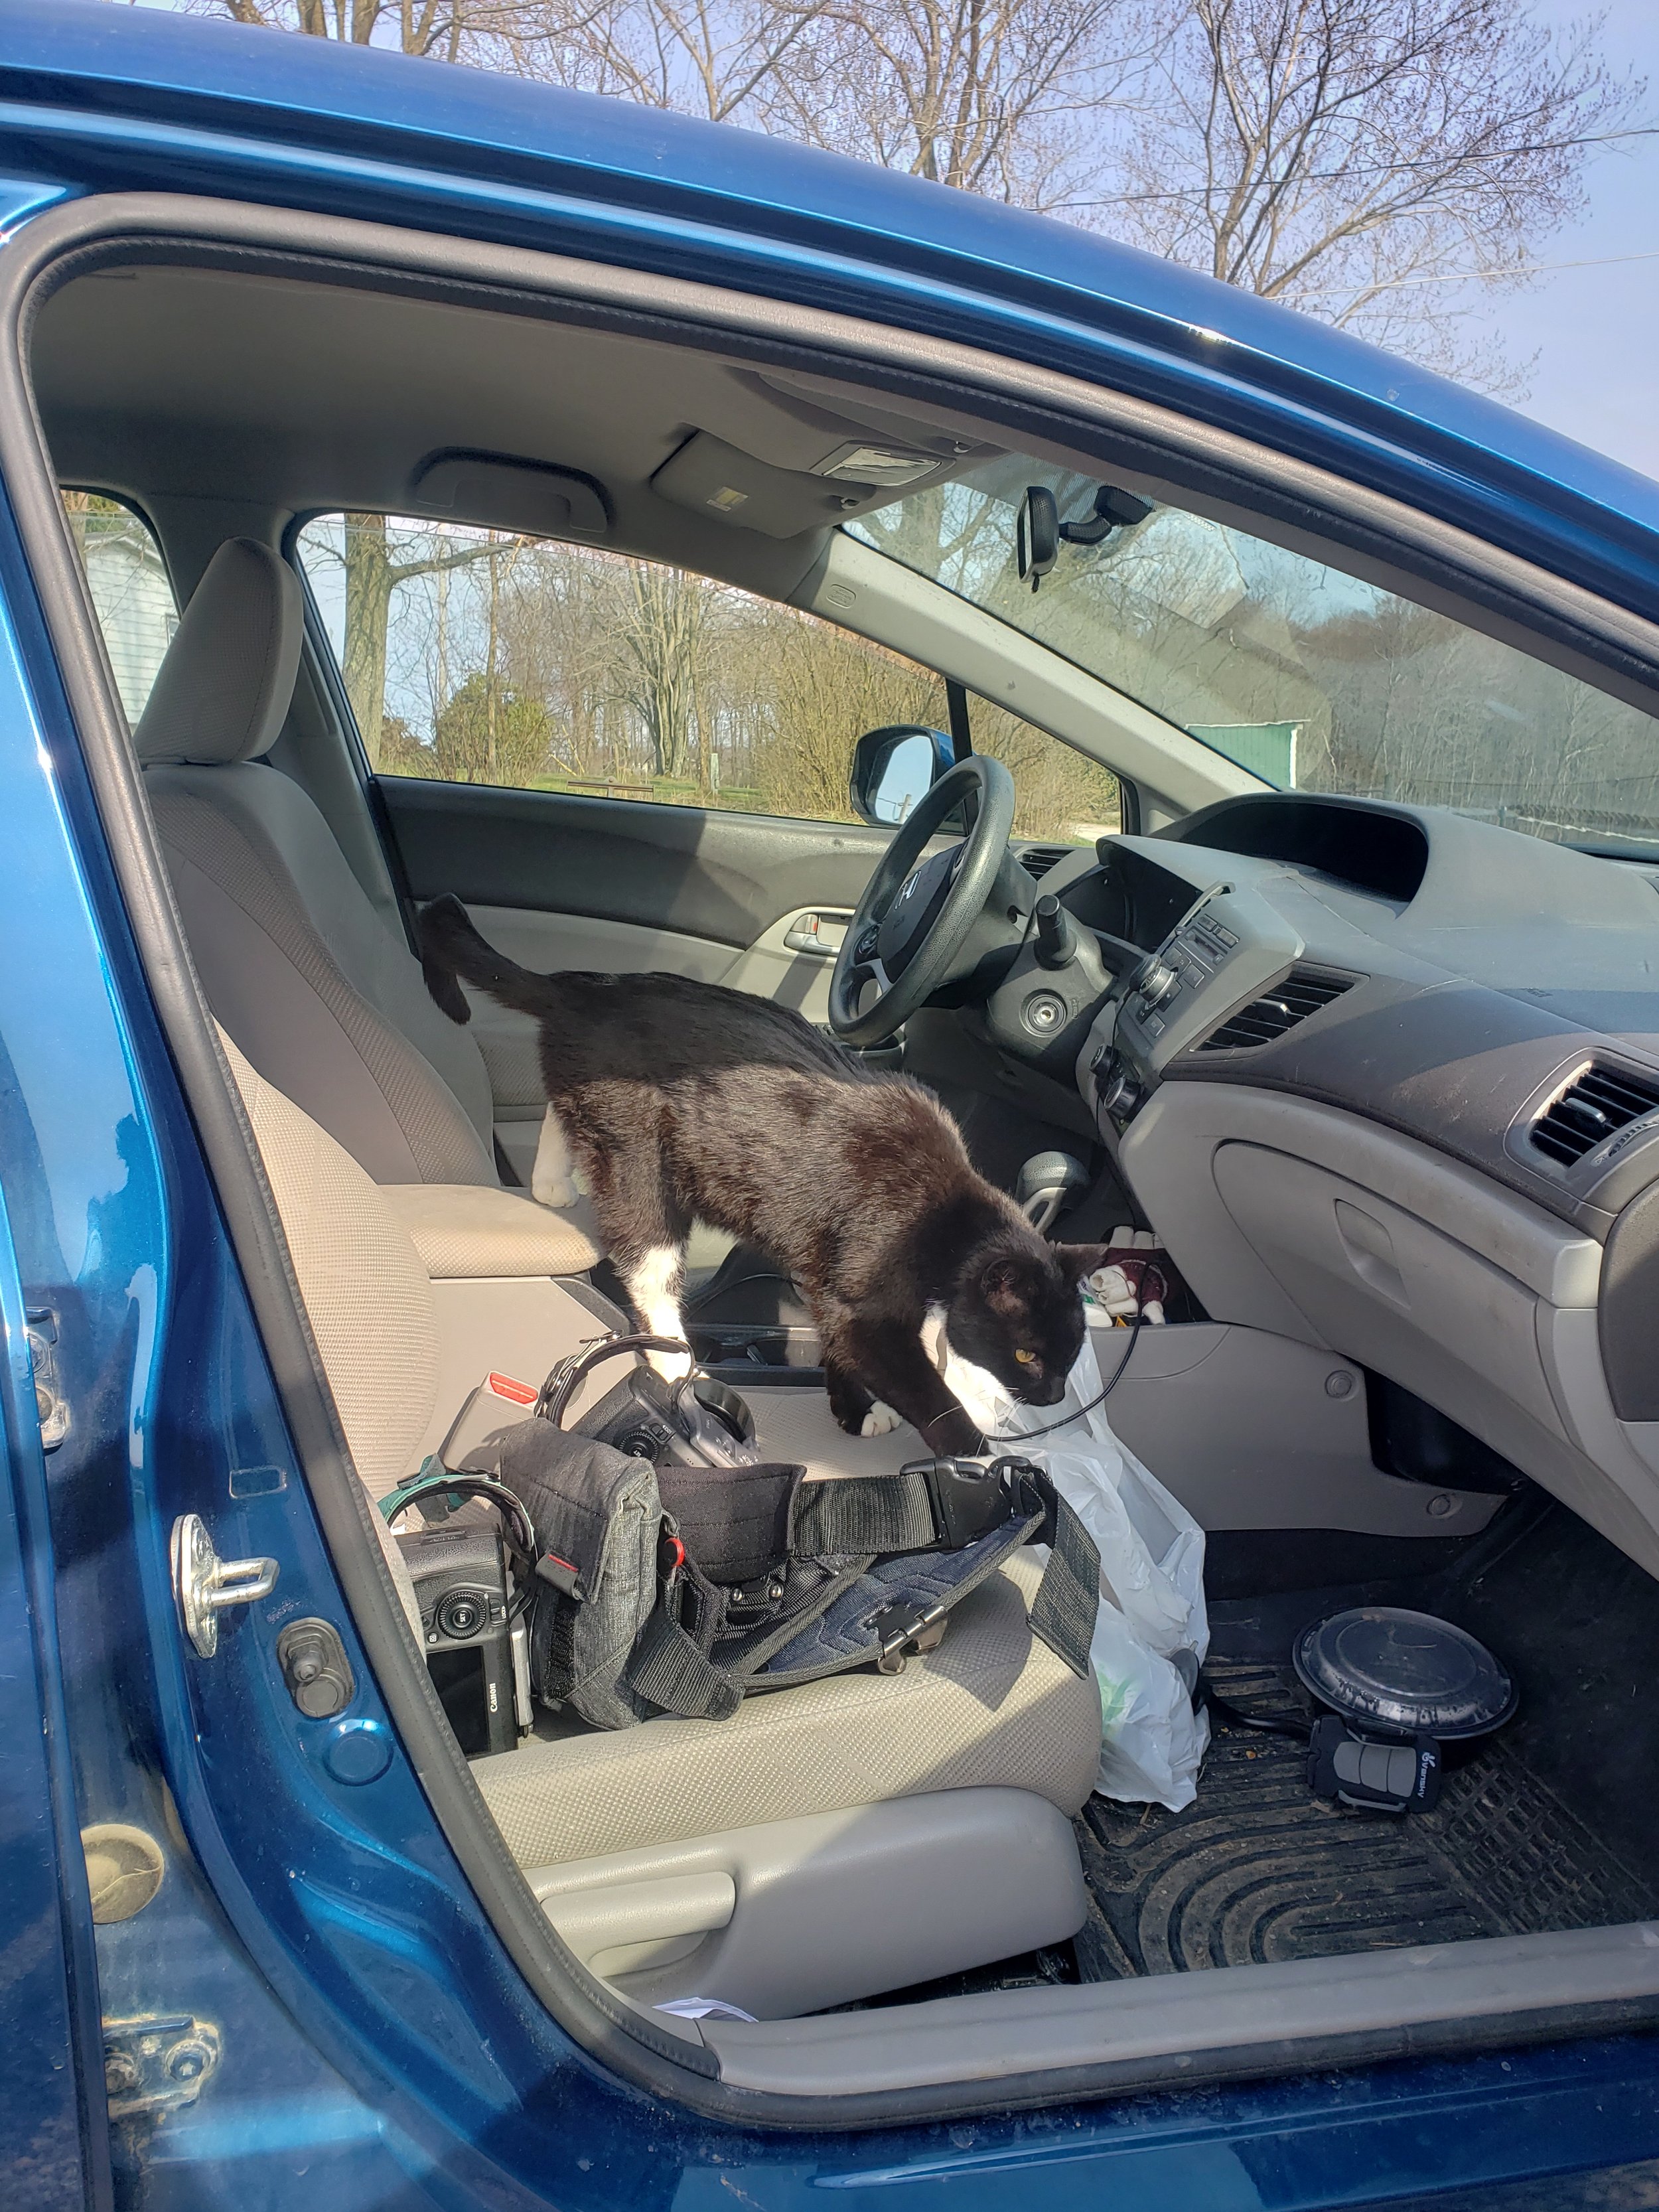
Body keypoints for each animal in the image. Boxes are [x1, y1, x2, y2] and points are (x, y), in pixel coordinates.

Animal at [415, 889, 1106, 1459]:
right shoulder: (865, 1287)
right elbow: (913, 1380)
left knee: (559, 1111)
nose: (1051, 1397)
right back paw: (675, 1361)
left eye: (1072, 1352)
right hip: (638, 1155)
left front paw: (854, 1412)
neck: (945, 1218)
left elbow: (837, 1339)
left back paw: (552, 1183)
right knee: (648, 1262)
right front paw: (980, 1454)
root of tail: (582, 987)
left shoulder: (831, 1283)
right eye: (1026, 1353)